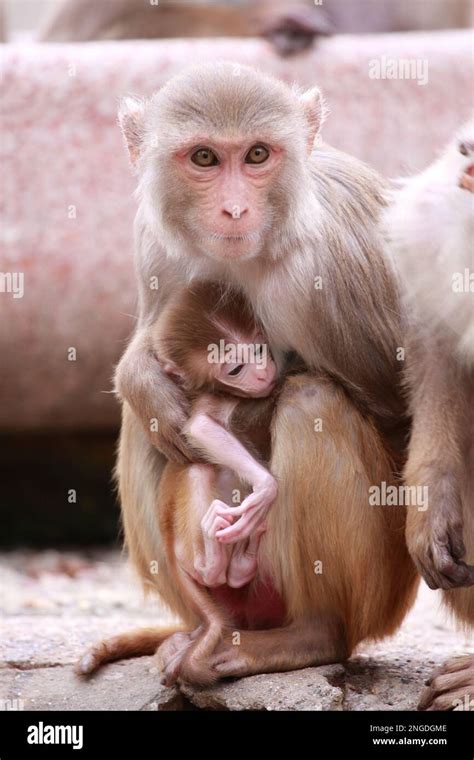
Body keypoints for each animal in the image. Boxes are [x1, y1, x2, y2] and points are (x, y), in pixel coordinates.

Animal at [74, 62, 418, 684]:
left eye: (257, 154)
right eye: (205, 158)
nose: (234, 209)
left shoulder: (330, 268)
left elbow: (402, 417)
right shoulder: (151, 239)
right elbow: (158, 366)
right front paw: (145, 381)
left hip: (378, 591)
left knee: (311, 403)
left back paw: (313, 635)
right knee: (148, 429)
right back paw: (204, 618)